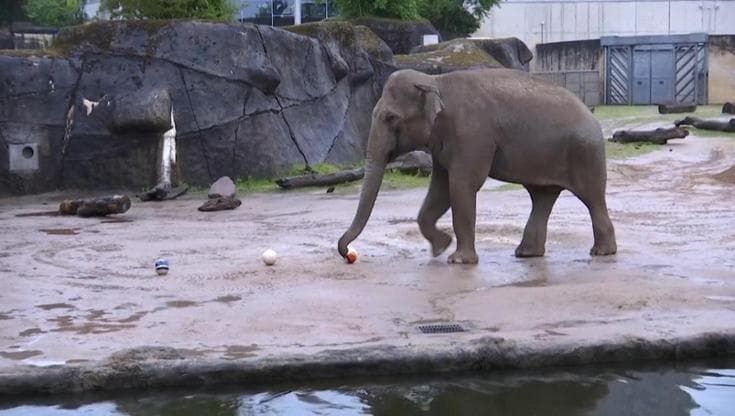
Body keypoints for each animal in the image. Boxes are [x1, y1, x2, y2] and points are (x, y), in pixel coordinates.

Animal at [337, 68, 617, 264]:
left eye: (391, 117)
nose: (348, 252)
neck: (435, 81)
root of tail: (591, 113)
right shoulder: (444, 142)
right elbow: (440, 189)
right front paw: (441, 246)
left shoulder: (471, 135)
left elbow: (462, 185)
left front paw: (457, 259)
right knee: (542, 197)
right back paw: (526, 253)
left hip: (585, 153)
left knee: (592, 198)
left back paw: (601, 252)